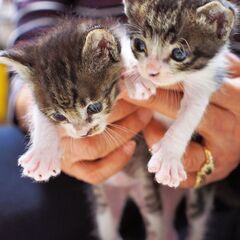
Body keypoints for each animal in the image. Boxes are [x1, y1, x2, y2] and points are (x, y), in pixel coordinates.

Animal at [124, 0, 236, 188]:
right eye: (139, 44)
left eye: (179, 53)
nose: (151, 72)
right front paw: (137, 78)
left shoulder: (206, 79)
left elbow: (191, 111)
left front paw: (168, 157)